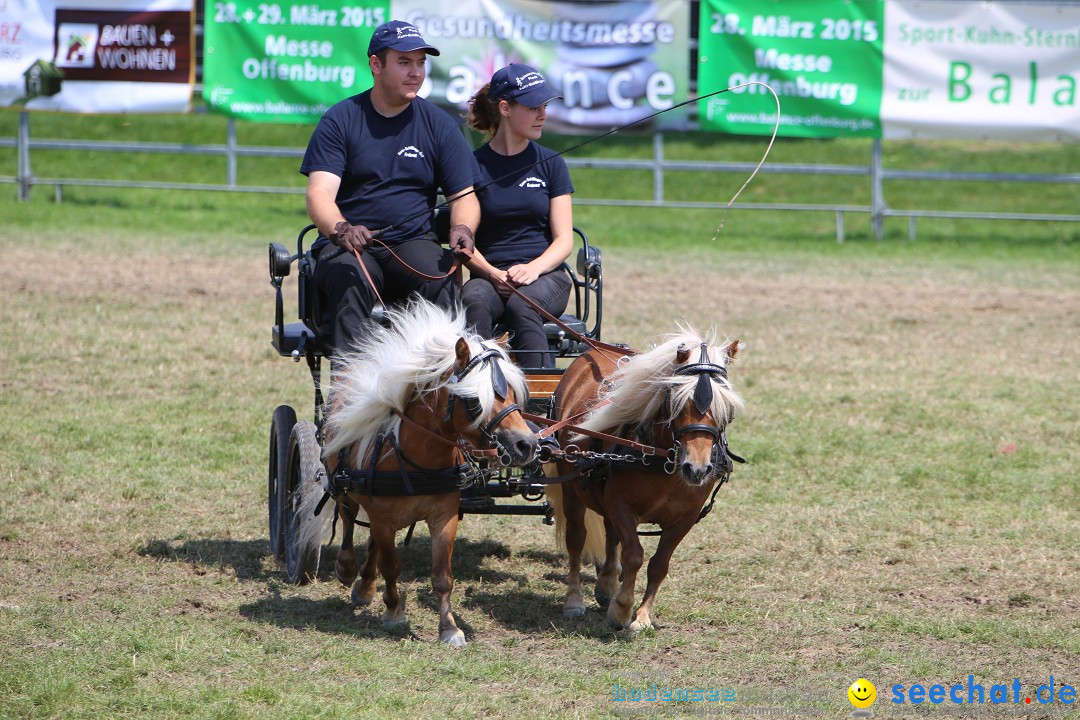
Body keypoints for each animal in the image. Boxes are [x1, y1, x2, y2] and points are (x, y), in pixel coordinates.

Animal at [295, 297, 535, 647]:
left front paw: (450, 629)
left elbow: (442, 576)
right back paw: (347, 569)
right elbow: (392, 566)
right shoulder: (382, 516)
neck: (421, 459)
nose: (526, 444)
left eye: (515, 393)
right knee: (349, 520)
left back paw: (364, 586)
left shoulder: (444, 516)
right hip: (343, 483)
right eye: (474, 401)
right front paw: (394, 613)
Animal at [548, 332, 743, 630]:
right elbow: (634, 555)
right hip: (570, 485)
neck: (664, 460)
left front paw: (641, 616)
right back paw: (574, 600)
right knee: (576, 539)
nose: (696, 469)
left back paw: (606, 585)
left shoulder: (684, 519)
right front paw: (621, 609)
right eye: (677, 400)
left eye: (727, 407)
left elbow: (659, 564)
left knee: (610, 531)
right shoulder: (622, 506)